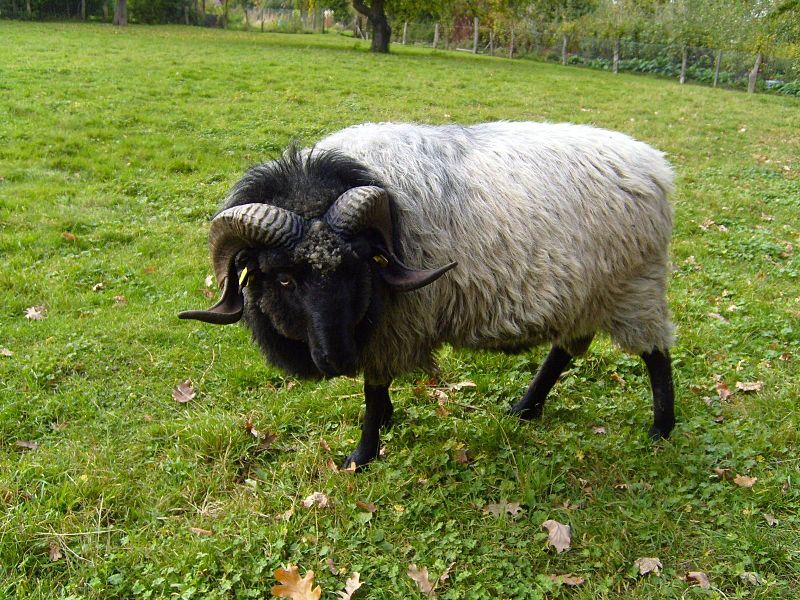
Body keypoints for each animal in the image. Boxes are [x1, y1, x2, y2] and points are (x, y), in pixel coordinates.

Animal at [180, 122, 676, 468]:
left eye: (357, 265)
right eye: (282, 277)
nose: (337, 359)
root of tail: (655, 166)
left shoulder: (392, 329)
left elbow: (373, 391)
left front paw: (362, 455)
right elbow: (376, 391)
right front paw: (385, 424)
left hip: (636, 289)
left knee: (656, 355)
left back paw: (662, 429)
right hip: (584, 296)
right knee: (565, 350)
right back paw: (524, 408)